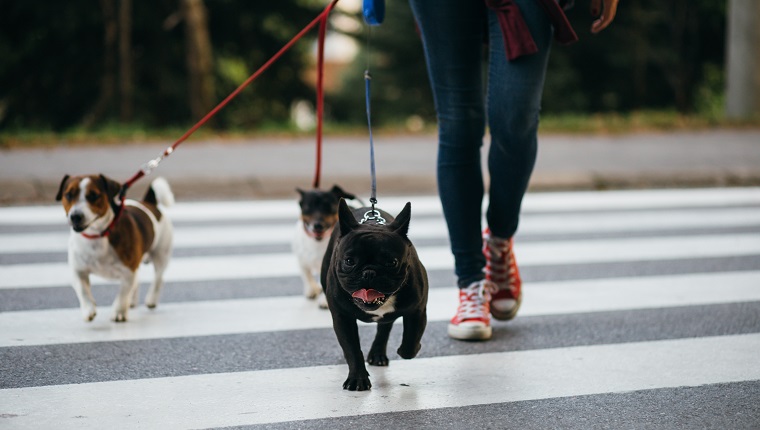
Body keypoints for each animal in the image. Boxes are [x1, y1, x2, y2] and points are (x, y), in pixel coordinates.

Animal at [320, 198, 428, 390]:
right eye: (349, 261)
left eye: (392, 262)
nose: (369, 273)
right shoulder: (342, 318)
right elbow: (352, 349)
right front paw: (357, 379)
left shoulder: (418, 310)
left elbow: (411, 339)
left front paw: (406, 350)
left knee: (385, 326)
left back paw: (378, 353)